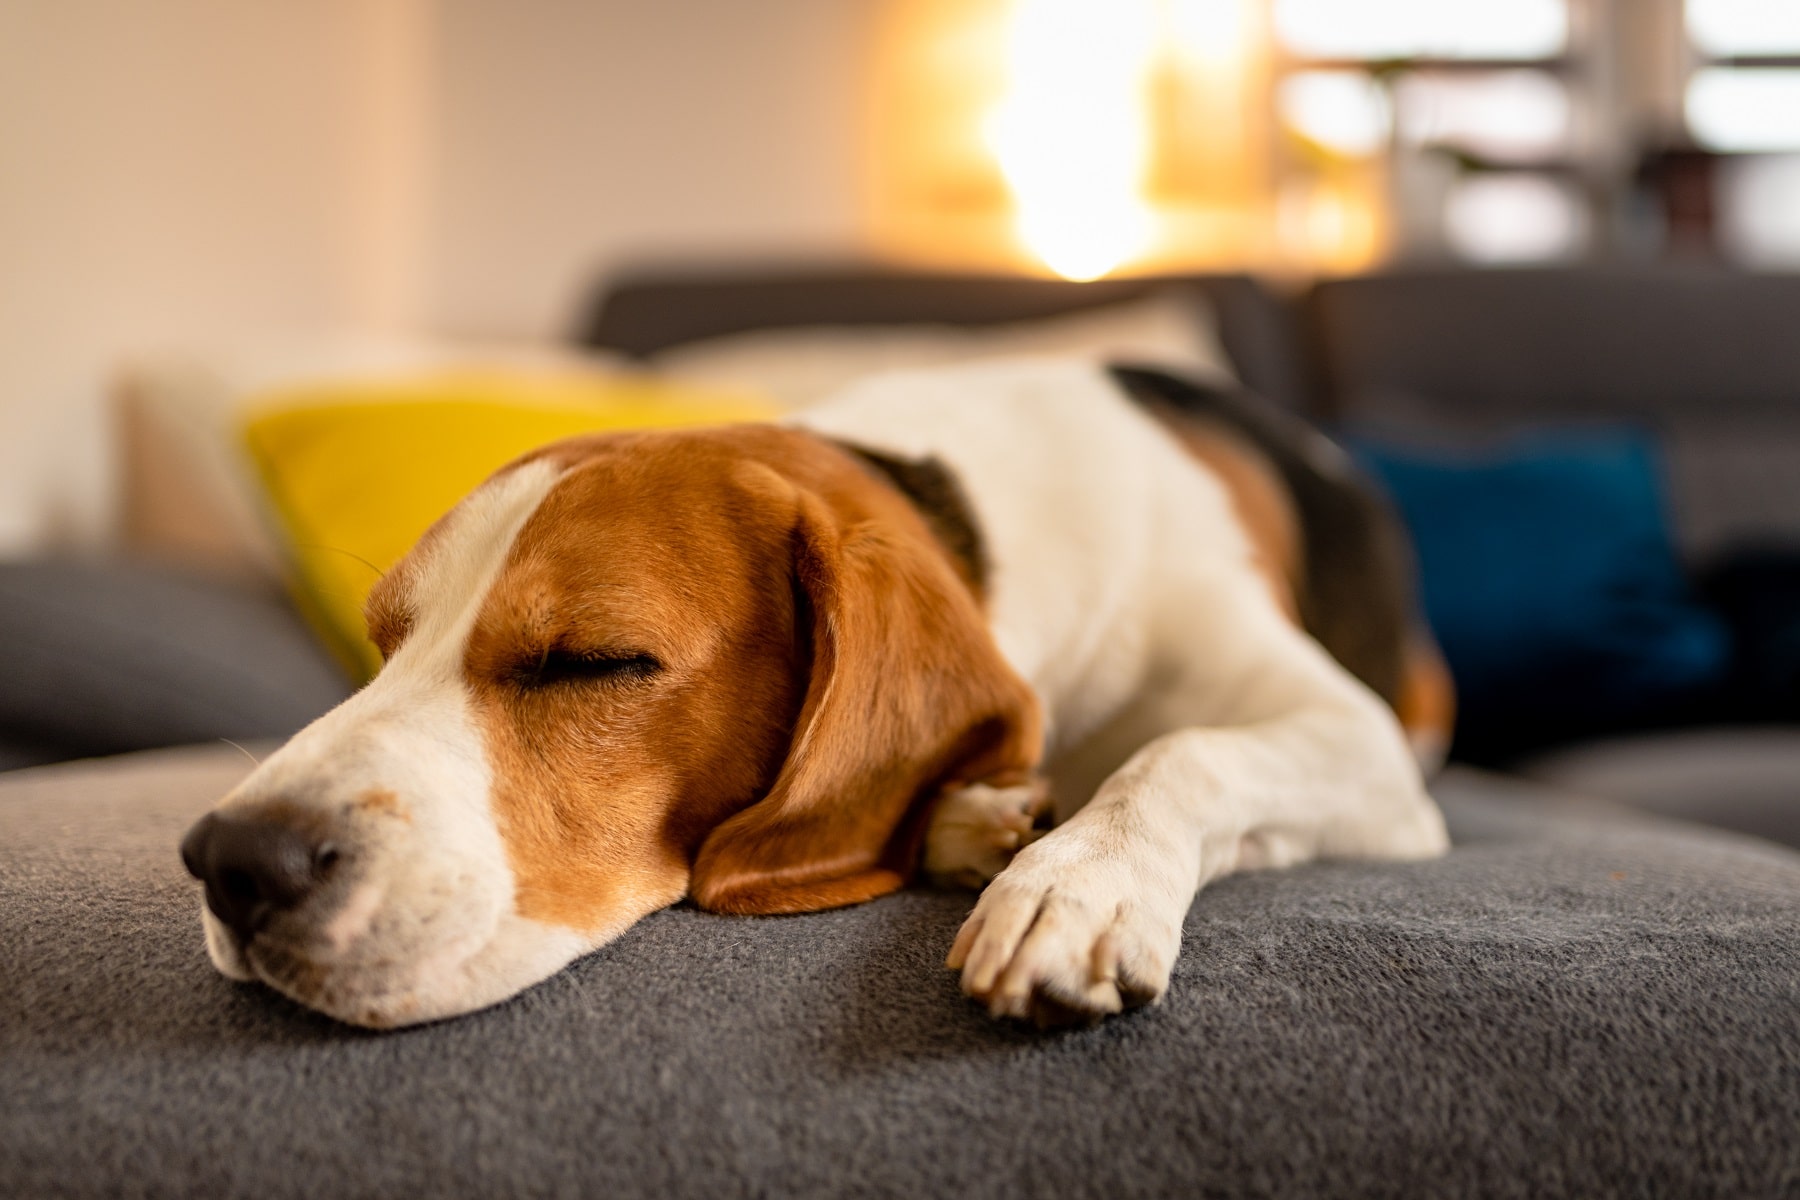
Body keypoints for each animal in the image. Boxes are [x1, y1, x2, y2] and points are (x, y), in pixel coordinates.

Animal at [179, 361, 1447, 1029]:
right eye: (383, 641)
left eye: (593, 661)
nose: (234, 859)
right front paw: (981, 823)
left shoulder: (1361, 746)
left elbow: (1185, 750)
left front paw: (1079, 883)